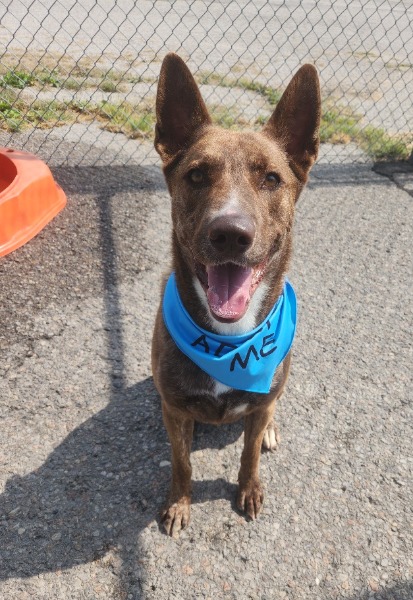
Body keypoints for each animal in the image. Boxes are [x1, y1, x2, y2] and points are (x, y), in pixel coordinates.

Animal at [151, 54, 318, 536]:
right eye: (196, 175)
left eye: (271, 178)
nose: (230, 234)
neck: (231, 341)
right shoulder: (175, 410)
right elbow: (181, 463)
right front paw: (179, 502)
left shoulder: (258, 408)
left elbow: (247, 454)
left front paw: (248, 488)